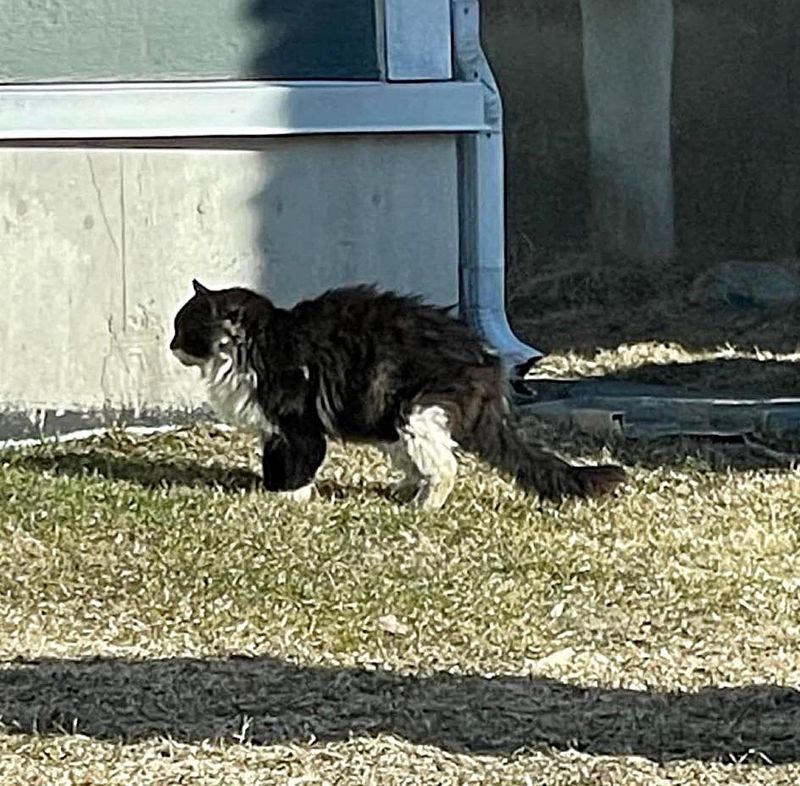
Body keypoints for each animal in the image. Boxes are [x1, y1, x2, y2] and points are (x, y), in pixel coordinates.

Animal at [169, 280, 624, 508]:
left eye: (183, 329)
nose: (170, 345)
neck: (255, 346)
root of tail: (488, 360)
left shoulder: (297, 426)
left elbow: (298, 466)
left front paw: (289, 499)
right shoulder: (274, 431)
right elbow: (274, 463)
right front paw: (275, 492)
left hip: (416, 412)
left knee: (445, 468)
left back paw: (423, 506)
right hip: (391, 421)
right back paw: (405, 492)